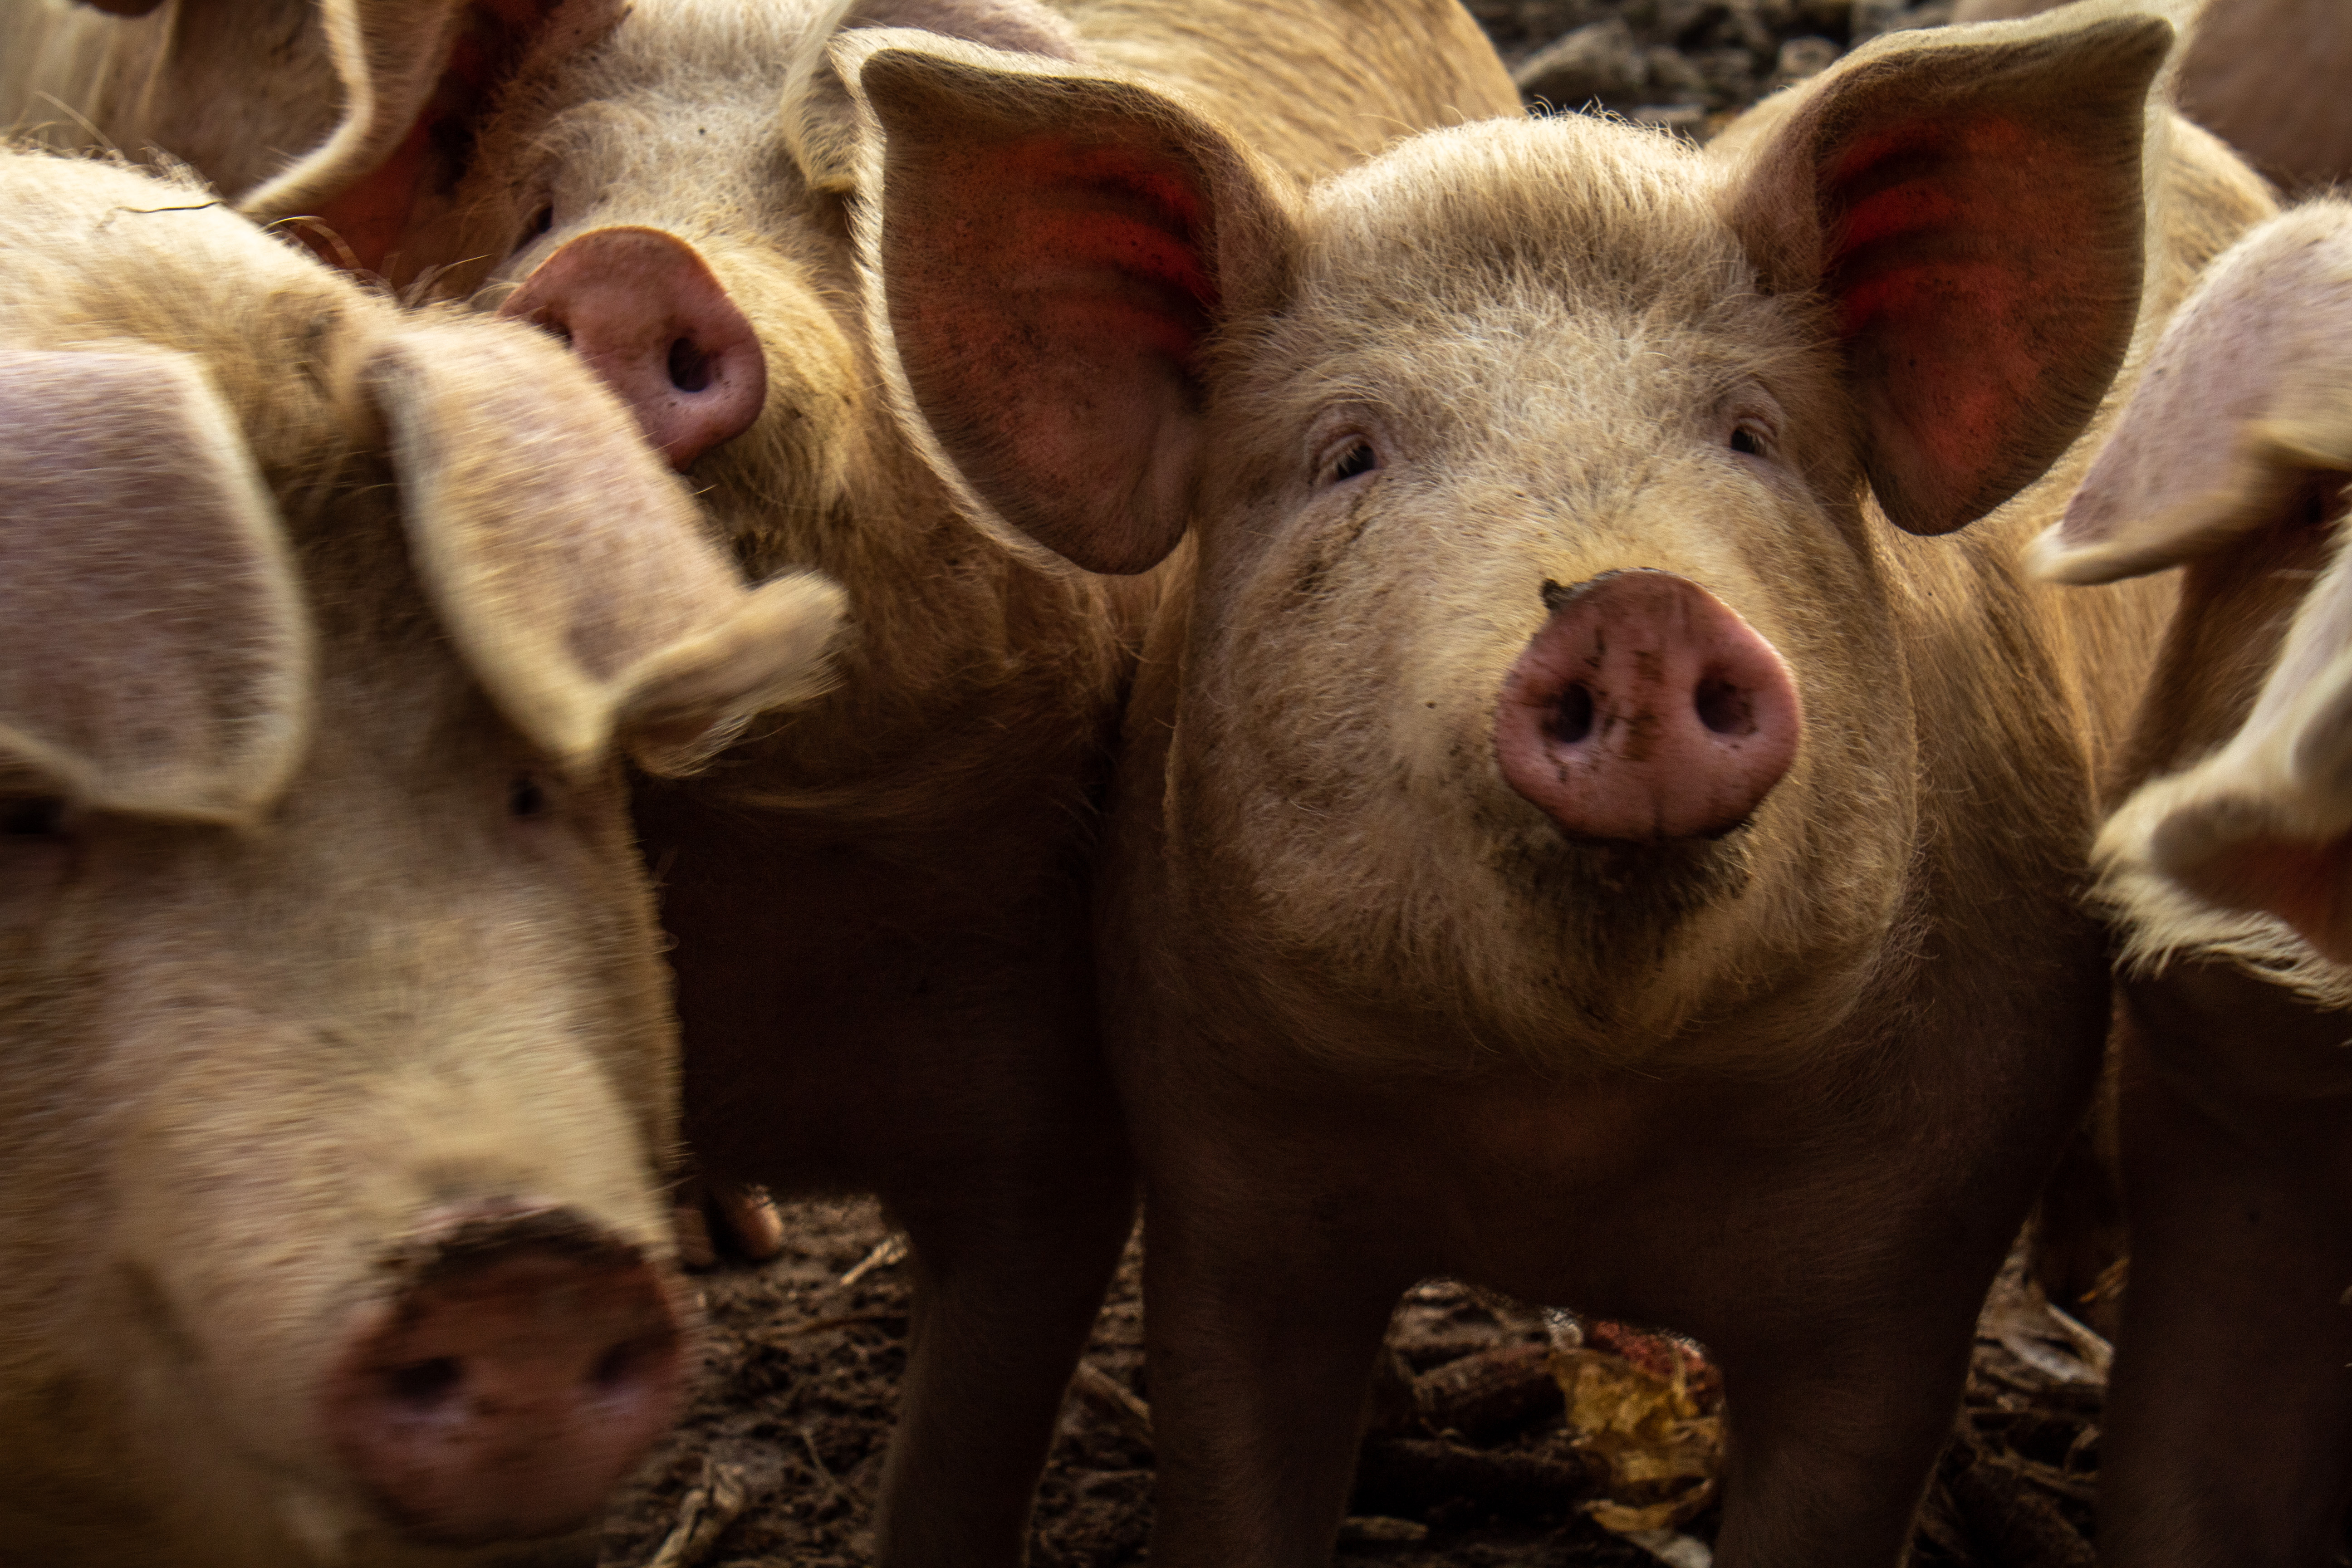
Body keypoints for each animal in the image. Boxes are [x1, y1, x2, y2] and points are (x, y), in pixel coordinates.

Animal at [847, 6, 2277, 1561]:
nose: (1636, 606)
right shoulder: (1223, 1191)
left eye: (1751, 435)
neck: (1562, 1130)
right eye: (1348, 453)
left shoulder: (1916, 1258)